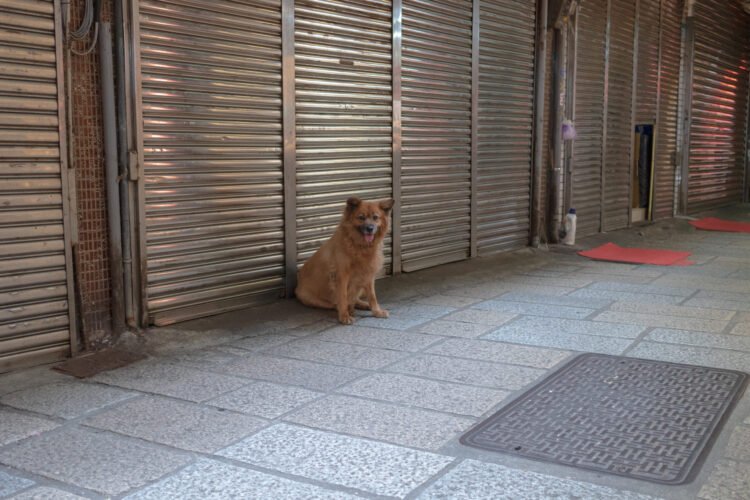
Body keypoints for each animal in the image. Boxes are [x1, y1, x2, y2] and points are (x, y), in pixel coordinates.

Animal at [296, 195, 396, 324]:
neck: (359, 245)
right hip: (312, 298)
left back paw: (363, 305)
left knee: (355, 298)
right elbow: (342, 296)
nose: (370, 228)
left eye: (375, 217)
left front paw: (377, 311)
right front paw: (344, 316)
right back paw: (349, 309)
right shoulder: (341, 275)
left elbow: (372, 296)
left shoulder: (368, 274)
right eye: (361, 217)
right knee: (334, 304)